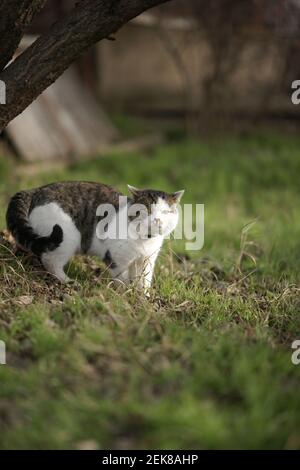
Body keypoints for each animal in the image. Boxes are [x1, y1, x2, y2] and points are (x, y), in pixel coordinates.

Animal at [6, 182, 185, 292]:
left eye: (166, 212)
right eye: (147, 210)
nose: (157, 219)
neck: (145, 240)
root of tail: (36, 189)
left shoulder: (146, 260)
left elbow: (144, 281)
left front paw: (143, 297)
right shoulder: (115, 259)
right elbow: (122, 280)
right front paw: (124, 295)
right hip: (66, 237)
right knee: (51, 261)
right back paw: (67, 281)